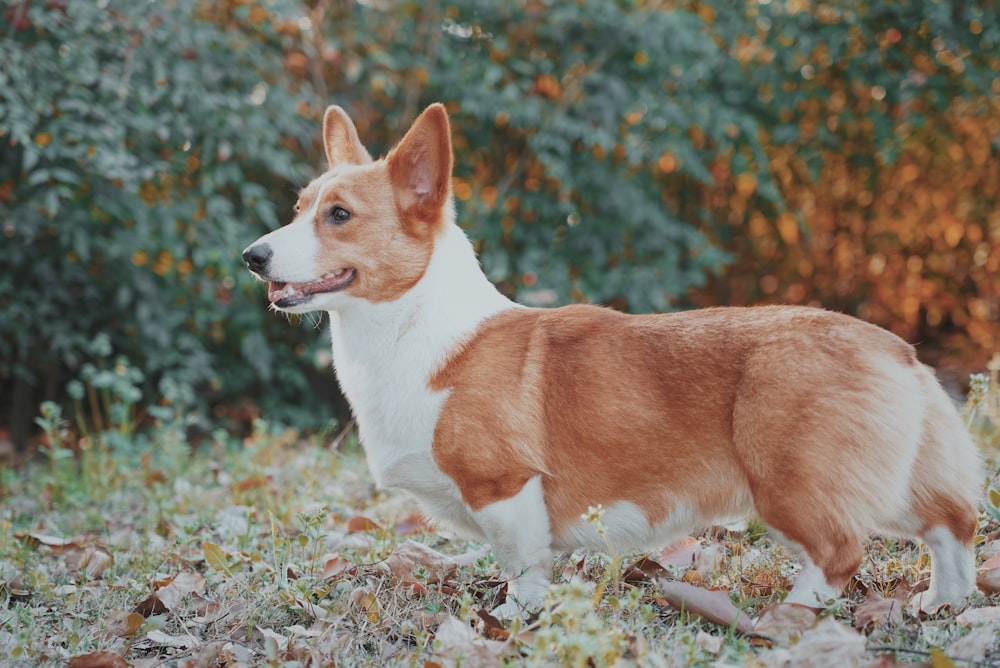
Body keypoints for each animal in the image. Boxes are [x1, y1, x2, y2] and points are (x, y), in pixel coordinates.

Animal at [244, 102, 984, 620]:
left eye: (339, 215)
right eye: (298, 209)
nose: (252, 256)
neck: (411, 325)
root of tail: (894, 347)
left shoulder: (506, 488)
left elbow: (523, 566)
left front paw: (513, 619)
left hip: (793, 481)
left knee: (840, 554)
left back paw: (791, 616)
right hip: (890, 481)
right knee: (951, 526)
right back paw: (942, 604)